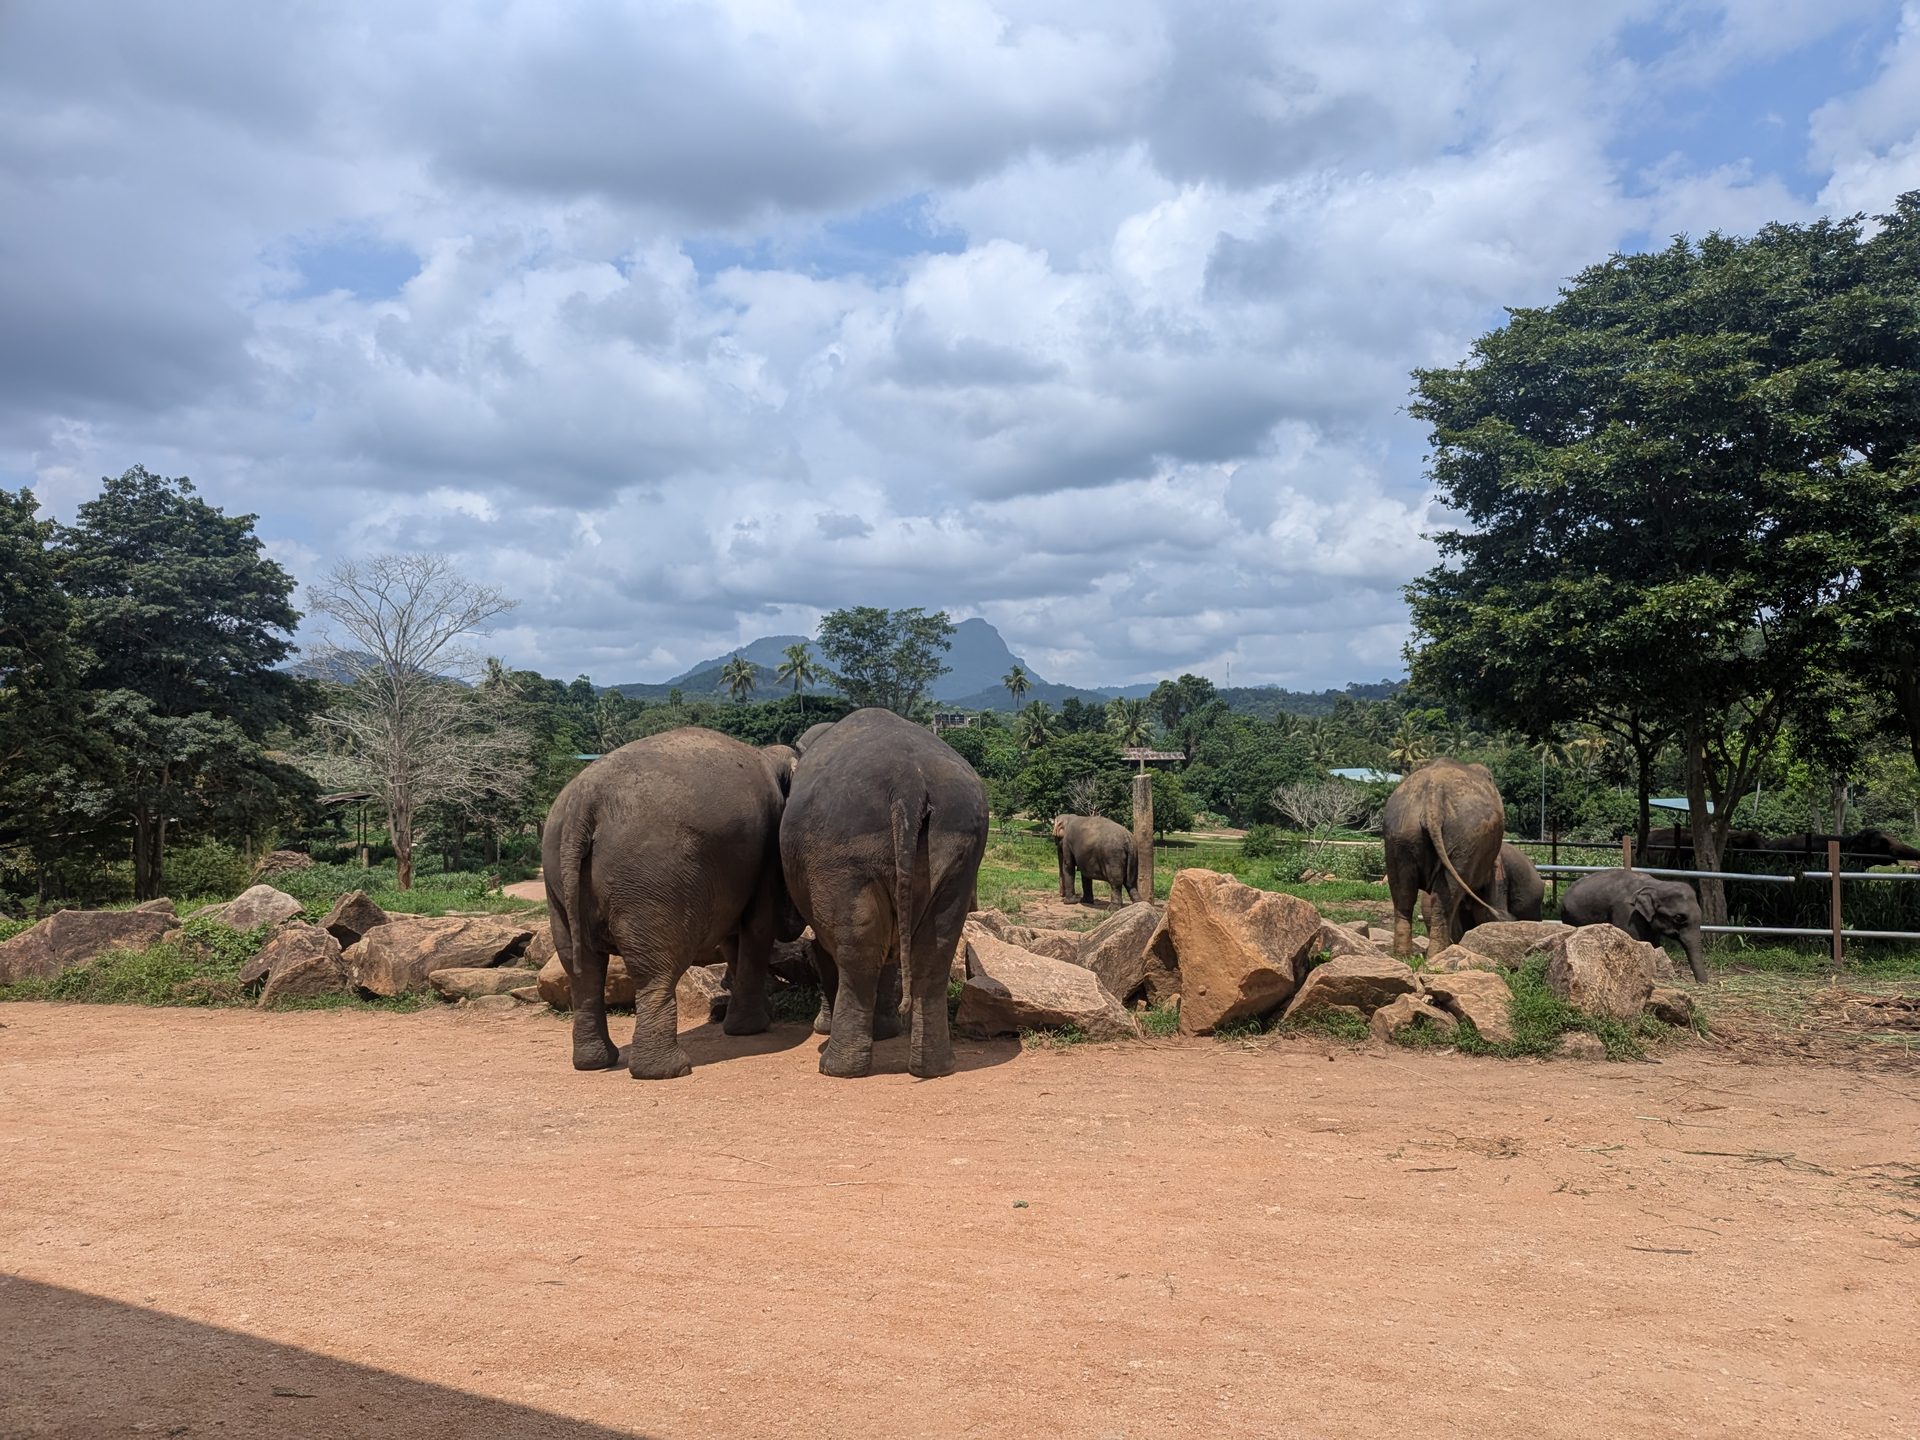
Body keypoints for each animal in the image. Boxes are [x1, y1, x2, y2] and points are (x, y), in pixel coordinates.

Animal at [542, 727, 798, 1080]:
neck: (769, 755)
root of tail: (584, 803)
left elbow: (736, 938)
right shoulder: (767, 854)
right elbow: (759, 928)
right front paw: (751, 1028)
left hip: (558, 876)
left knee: (580, 967)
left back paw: (594, 1062)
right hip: (652, 878)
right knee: (656, 969)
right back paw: (667, 1069)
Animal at [779, 708, 988, 1079]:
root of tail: (909, 784)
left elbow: (824, 948)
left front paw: (830, 1027)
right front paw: (887, 1031)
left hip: (841, 852)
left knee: (857, 952)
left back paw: (835, 1068)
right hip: (961, 847)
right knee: (935, 949)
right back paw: (934, 1068)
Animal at [1382, 758, 1506, 957]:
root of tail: (1432, 799)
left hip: (1400, 834)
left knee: (1403, 893)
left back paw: (1404, 955)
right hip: (1463, 841)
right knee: (1445, 896)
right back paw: (1437, 954)